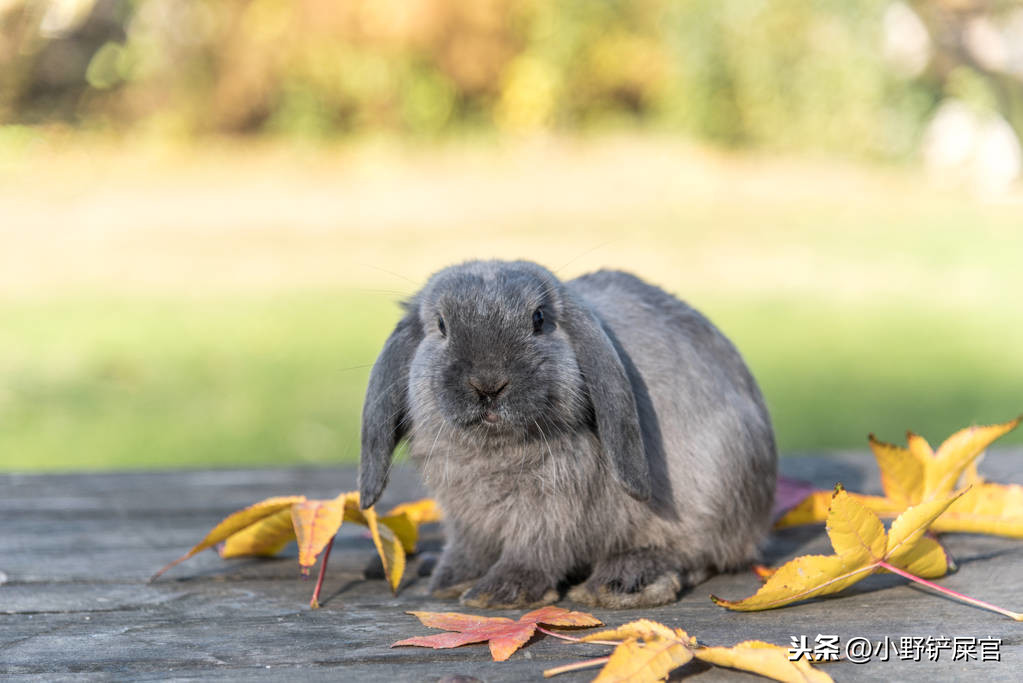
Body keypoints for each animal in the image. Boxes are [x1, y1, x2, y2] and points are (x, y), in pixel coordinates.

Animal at [360, 259, 773, 609]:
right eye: (442, 325)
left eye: (539, 319)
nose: (488, 384)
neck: (496, 447)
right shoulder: (465, 519)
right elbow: (468, 548)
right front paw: (451, 581)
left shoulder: (553, 509)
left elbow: (535, 550)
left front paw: (498, 593)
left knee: (698, 552)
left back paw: (621, 581)